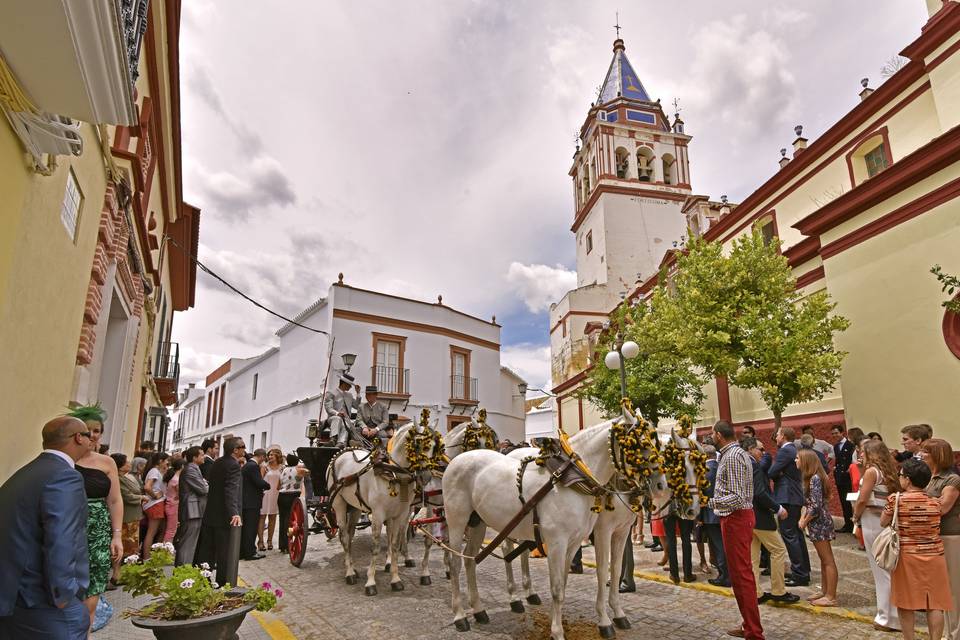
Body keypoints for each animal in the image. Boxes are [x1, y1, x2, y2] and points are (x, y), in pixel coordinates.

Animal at [324, 420, 440, 596]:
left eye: (434, 446)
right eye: (417, 444)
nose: (425, 477)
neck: (394, 475)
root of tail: (343, 453)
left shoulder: (400, 514)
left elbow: (395, 544)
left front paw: (395, 579)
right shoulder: (378, 515)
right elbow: (376, 547)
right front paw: (370, 582)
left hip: (355, 507)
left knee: (349, 536)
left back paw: (352, 567)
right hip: (339, 505)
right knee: (344, 536)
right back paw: (349, 573)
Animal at [444, 416, 676, 640]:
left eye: (657, 443)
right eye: (638, 443)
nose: (661, 486)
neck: (578, 477)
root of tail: (457, 460)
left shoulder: (602, 535)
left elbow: (589, 576)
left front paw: (615, 614)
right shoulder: (572, 539)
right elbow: (579, 580)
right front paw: (576, 627)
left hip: (481, 522)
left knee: (472, 560)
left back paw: (483, 609)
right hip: (457, 520)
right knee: (457, 562)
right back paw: (461, 615)